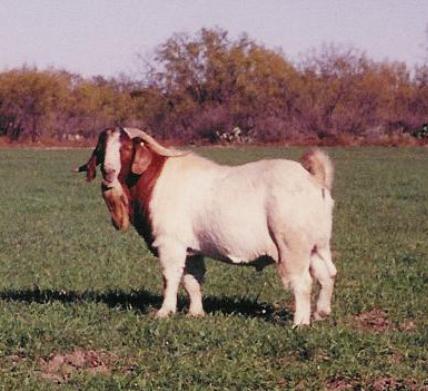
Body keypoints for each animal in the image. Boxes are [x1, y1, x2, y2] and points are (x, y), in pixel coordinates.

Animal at [77, 127, 338, 326]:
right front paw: (195, 313)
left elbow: (171, 277)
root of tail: (313, 179)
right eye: (101, 149)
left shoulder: (170, 243)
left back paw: (300, 323)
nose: (109, 172)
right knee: (327, 274)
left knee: (303, 282)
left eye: (125, 148)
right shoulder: (191, 249)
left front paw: (164, 312)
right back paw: (321, 313)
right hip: (317, 245)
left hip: (292, 246)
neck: (152, 178)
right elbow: (192, 280)